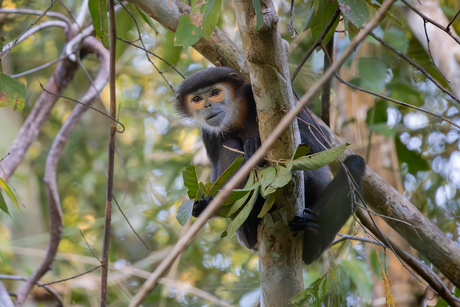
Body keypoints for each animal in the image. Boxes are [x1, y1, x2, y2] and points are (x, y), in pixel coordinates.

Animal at [174, 67, 364, 264]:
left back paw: (312, 236)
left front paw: (257, 141)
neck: (237, 115)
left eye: (215, 92)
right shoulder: (208, 134)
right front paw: (203, 205)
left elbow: (322, 142)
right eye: (197, 99)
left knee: (355, 164)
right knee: (230, 143)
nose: (207, 106)